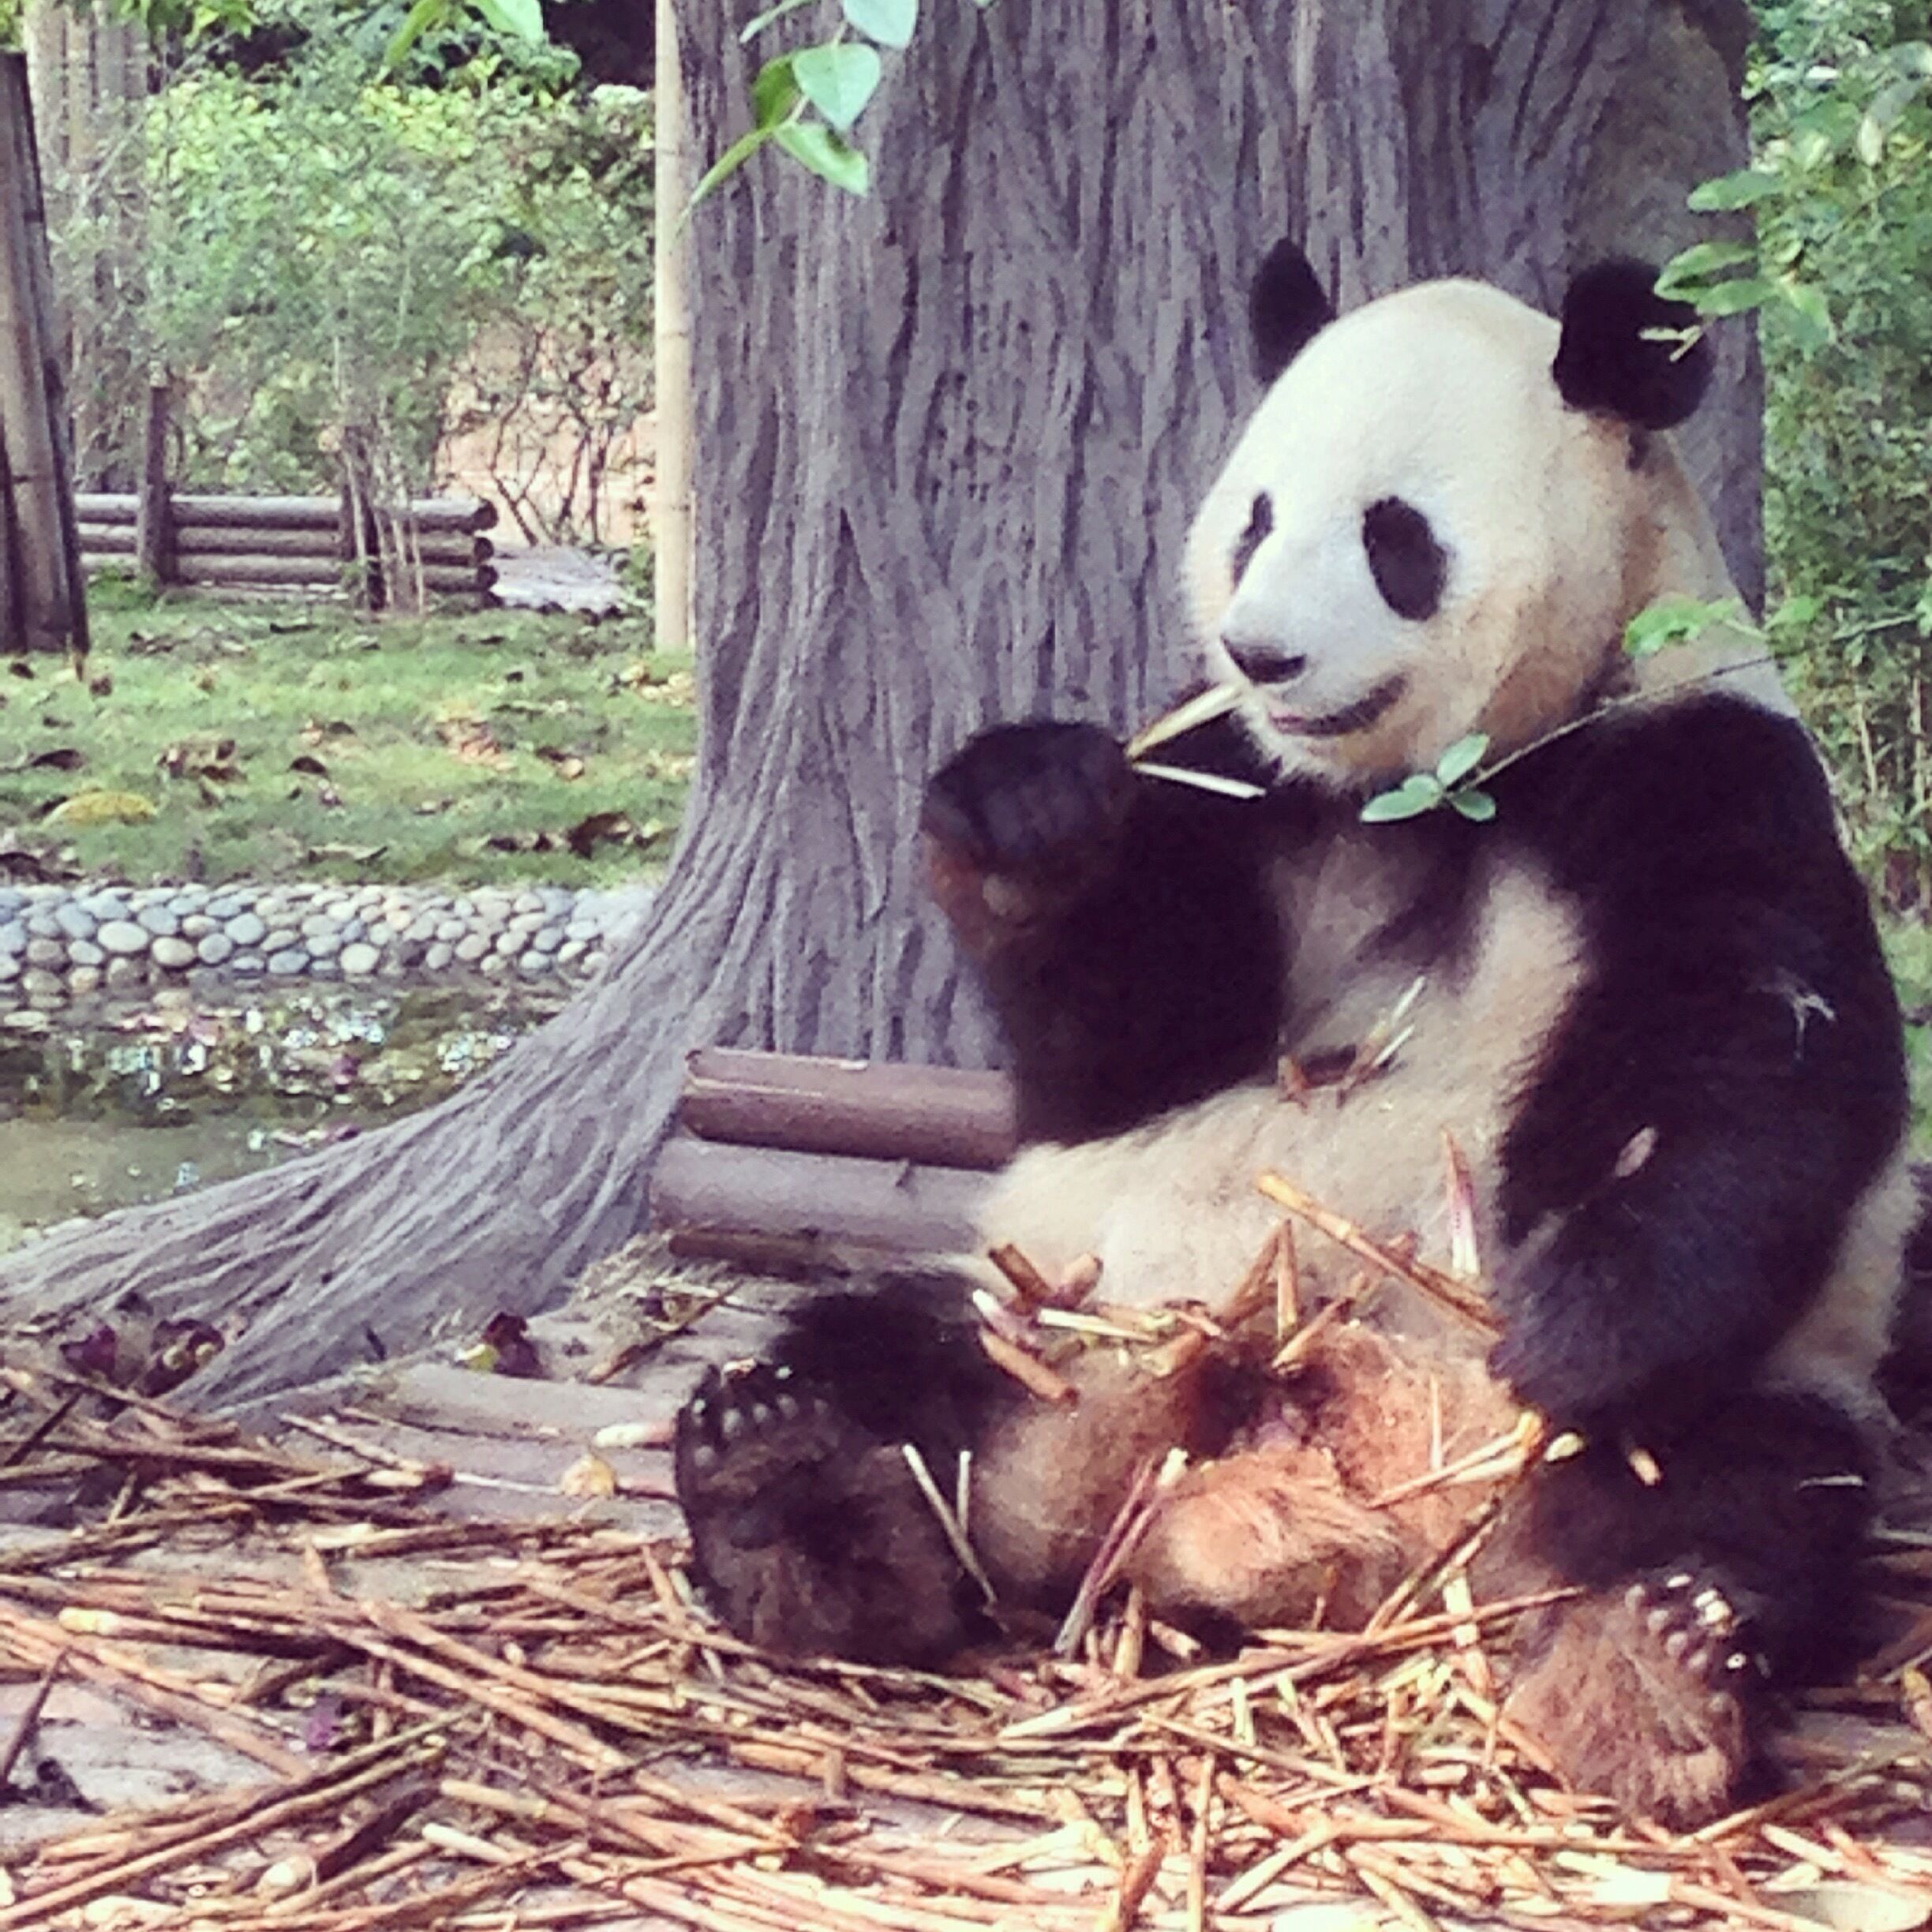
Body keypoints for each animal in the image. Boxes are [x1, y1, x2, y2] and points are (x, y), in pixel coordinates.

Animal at [674, 244, 1915, 1828]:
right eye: (1255, 518)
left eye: (1395, 536)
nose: (1261, 653)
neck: (1430, 786)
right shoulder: (1243, 786)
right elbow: (1118, 1051)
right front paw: (1028, 810)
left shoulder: (1692, 763)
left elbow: (1758, 1056)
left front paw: (1578, 1326)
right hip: (1073, 1319)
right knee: (893, 1363)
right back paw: (786, 1495)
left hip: (1712, 1405)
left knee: (1731, 1488)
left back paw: (1647, 1670)